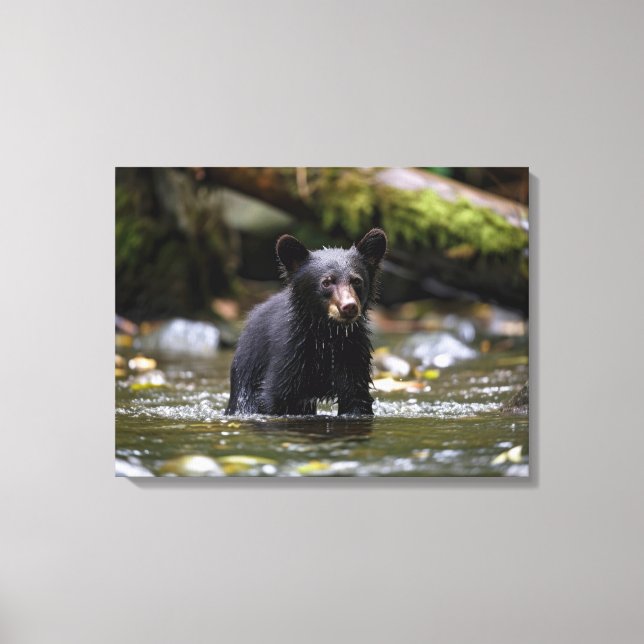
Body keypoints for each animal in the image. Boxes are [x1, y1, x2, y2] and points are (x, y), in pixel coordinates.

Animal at [224, 228, 387, 416]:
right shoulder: (289, 355)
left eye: (356, 281)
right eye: (326, 282)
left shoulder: (352, 354)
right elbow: (275, 396)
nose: (349, 307)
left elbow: (356, 398)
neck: (327, 334)